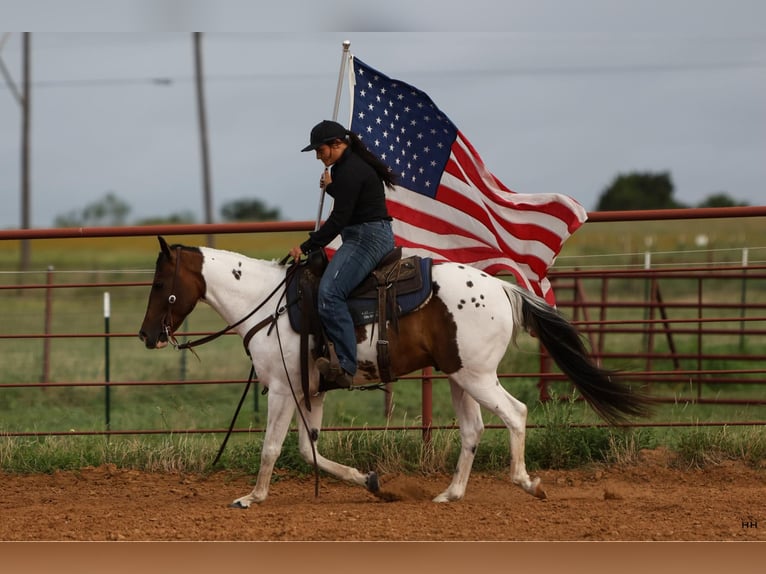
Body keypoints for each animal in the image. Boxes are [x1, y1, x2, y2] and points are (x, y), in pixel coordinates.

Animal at [139, 236, 652, 508]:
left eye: (161, 284)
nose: (146, 335)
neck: (270, 305)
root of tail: (504, 290)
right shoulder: (311, 392)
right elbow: (308, 451)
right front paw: (369, 481)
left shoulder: (285, 390)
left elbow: (271, 448)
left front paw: (253, 497)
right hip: (459, 378)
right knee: (473, 430)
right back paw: (450, 493)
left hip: (478, 377)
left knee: (516, 413)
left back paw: (526, 482)